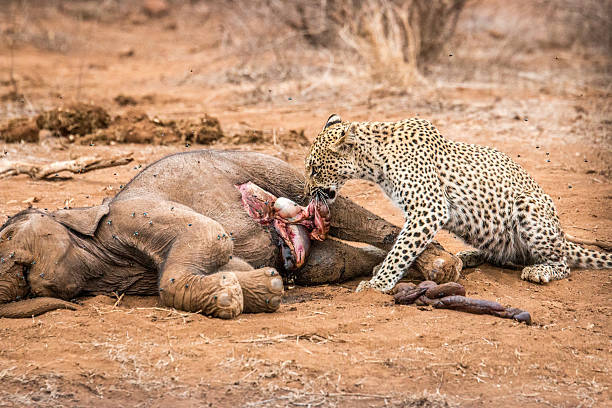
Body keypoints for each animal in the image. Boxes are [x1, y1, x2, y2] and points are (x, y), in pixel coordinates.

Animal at [304, 114, 608, 294]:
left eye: (315, 169)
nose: (307, 192)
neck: (375, 161)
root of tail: (561, 234)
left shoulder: (429, 207)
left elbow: (402, 248)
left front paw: (378, 282)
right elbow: (402, 243)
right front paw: (382, 272)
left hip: (528, 206)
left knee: (563, 263)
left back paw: (540, 271)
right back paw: (468, 256)